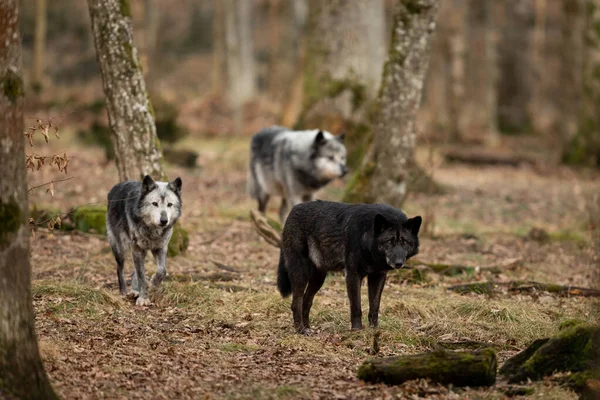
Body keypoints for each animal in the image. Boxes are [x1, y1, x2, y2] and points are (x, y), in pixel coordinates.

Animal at [105, 175, 182, 306]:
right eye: (155, 204)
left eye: (169, 204)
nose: (164, 220)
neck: (153, 231)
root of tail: (115, 187)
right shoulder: (137, 249)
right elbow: (141, 276)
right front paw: (144, 298)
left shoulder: (160, 248)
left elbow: (162, 270)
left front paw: (154, 284)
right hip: (121, 250)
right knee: (120, 269)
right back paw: (124, 292)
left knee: (134, 270)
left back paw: (135, 291)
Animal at [276, 200, 422, 334]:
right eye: (389, 241)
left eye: (405, 242)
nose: (398, 263)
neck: (366, 239)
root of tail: (293, 209)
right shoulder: (353, 274)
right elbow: (356, 306)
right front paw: (357, 330)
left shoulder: (378, 276)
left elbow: (374, 307)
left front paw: (374, 330)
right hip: (301, 273)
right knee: (296, 304)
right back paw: (300, 330)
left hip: (319, 278)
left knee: (306, 302)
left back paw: (308, 328)